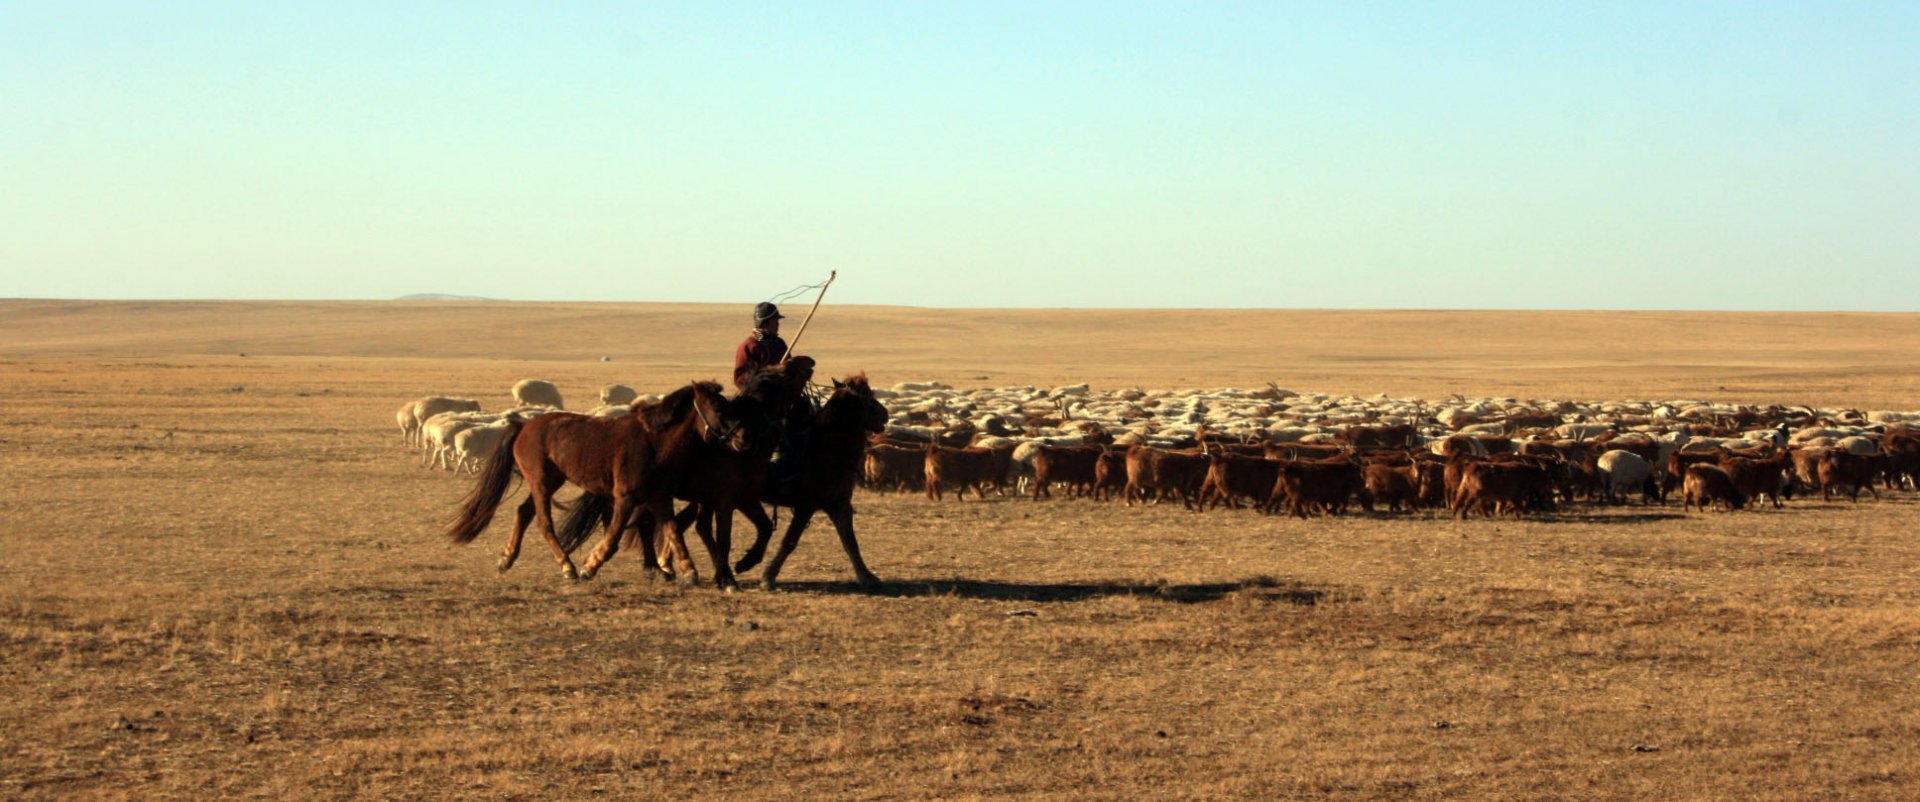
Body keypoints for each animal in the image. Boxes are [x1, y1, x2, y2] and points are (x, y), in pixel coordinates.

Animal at [443, 381, 756, 583]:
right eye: (719, 408)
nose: (743, 438)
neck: (654, 442)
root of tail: (523, 426)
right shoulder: (625, 497)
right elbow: (615, 534)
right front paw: (589, 566)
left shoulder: (659, 497)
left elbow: (672, 530)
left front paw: (687, 570)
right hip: (541, 481)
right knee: (543, 522)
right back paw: (567, 567)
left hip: (551, 481)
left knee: (524, 512)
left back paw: (507, 559)